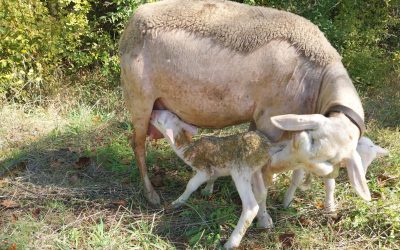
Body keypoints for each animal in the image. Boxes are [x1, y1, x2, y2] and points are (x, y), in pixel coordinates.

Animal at [119, 0, 368, 205]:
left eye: (335, 161)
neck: (319, 79)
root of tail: (133, 21)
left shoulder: (267, 119)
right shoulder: (270, 119)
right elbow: (263, 165)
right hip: (139, 99)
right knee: (137, 145)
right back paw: (151, 193)